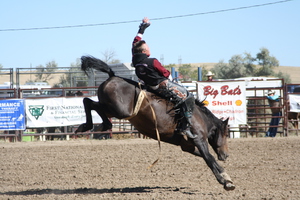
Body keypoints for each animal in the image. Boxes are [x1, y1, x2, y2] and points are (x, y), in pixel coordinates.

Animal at [74, 55, 234, 191]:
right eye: (226, 134)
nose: (226, 155)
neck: (199, 117)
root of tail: (112, 76)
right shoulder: (199, 139)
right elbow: (209, 158)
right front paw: (226, 182)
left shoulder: (187, 146)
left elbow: (208, 158)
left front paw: (226, 178)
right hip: (119, 111)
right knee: (91, 104)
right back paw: (100, 126)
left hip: (111, 110)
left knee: (88, 102)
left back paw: (87, 126)